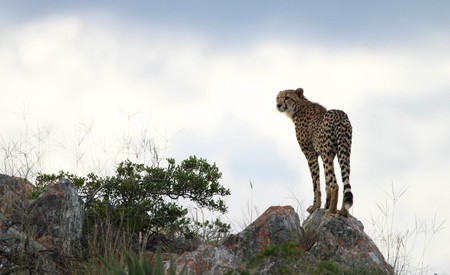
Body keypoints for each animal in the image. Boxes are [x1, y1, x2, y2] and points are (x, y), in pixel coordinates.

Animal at [276, 88, 354, 218]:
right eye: (278, 97)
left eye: (287, 97)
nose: (278, 105)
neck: (298, 108)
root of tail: (339, 113)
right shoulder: (325, 155)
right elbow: (326, 183)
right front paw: (325, 204)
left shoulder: (311, 154)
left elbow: (316, 183)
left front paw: (315, 206)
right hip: (344, 152)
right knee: (344, 180)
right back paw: (343, 212)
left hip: (329, 154)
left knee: (335, 184)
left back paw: (331, 210)